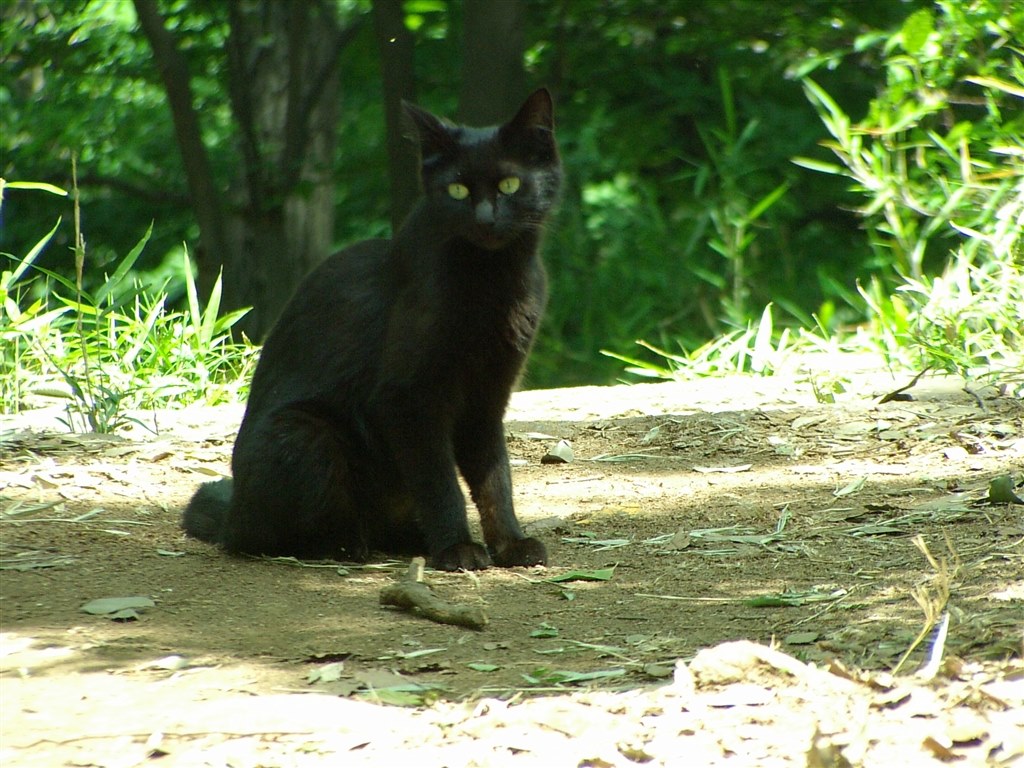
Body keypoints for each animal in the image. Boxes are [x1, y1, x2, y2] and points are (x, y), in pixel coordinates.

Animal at [182, 88, 561, 573]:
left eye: (509, 185)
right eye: (456, 189)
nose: (484, 218)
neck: (493, 279)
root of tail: (233, 514)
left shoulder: (486, 398)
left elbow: (496, 478)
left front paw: (511, 544)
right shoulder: (407, 398)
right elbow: (440, 481)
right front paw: (457, 548)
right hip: (305, 433)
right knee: (268, 538)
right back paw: (348, 545)